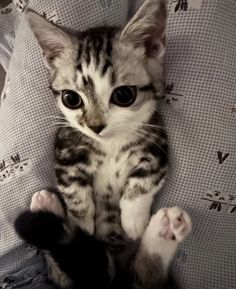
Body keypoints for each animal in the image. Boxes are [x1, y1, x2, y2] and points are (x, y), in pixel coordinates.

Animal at [14, 0, 192, 288]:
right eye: (71, 98)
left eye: (123, 95)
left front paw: (133, 220)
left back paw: (165, 228)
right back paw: (47, 206)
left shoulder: (158, 145)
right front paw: (82, 223)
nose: (95, 126)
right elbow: (75, 191)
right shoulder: (64, 150)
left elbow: (143, 180)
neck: (109, 145)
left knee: (144, 276)